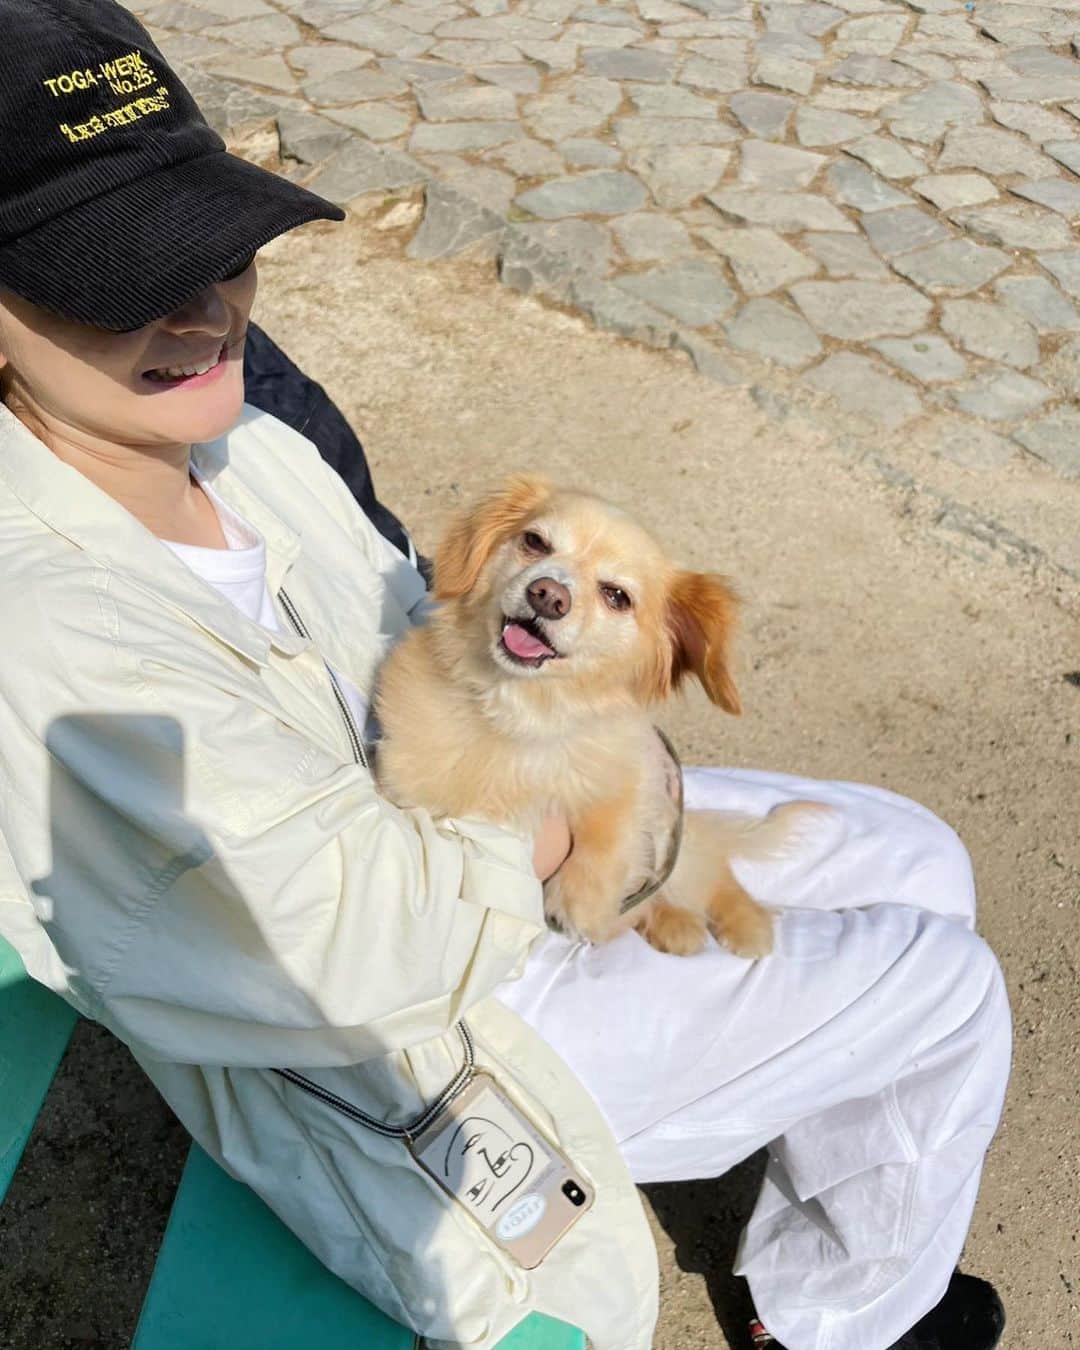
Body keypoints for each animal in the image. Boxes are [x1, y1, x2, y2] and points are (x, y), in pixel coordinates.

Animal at [375, 480, 820, 955]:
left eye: (617, 596)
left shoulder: (637, 775)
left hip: (677, 841)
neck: (520, 713)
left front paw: (580, 901)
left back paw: (746, 926)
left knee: (712, 871)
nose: (548, 595)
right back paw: (676, 925)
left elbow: (611, 824)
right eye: (535, 542)